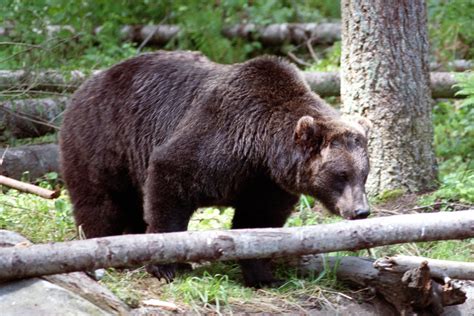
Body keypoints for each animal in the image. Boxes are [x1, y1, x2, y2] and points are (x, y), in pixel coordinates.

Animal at [59, 50, 370, 288]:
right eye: (341, 174)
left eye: (363, 173)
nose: (361, 211)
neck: (262, 149)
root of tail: (85, 85)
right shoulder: (216, 140)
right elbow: (169, 180)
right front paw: (165, 266)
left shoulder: (266, 183)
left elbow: (257, 222)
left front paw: (263, 275)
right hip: (102, 140)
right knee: (99, 201)